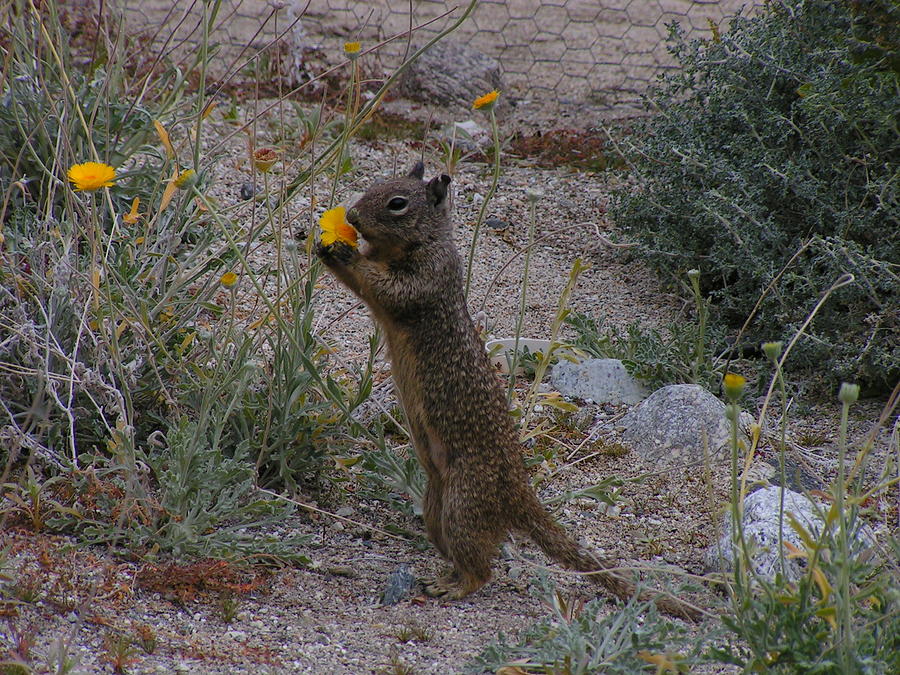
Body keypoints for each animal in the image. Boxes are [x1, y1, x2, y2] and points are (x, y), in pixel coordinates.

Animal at [316, 164, 704, 624]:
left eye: (397, 203)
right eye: (374, 186)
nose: (352, 216)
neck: (416, 245)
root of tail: (519, 494)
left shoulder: (424, 279)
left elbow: (384, 288)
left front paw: (342, 251)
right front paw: (322, 242)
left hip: (463, 507)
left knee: (481, 570)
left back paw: (453, 587)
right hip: (438, 513)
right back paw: (444, 576)